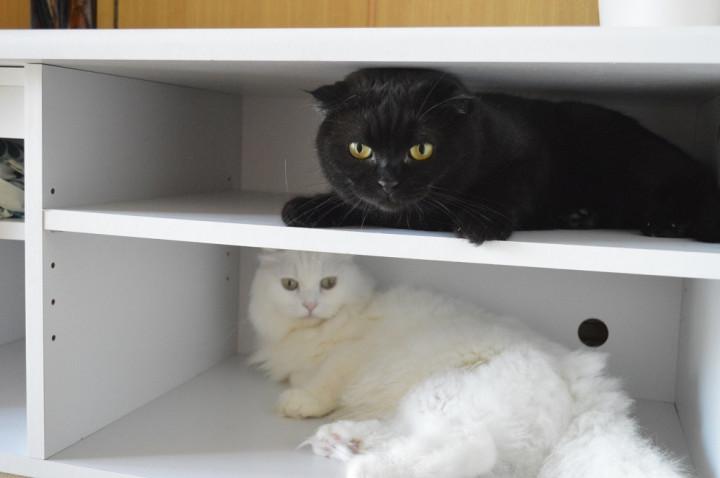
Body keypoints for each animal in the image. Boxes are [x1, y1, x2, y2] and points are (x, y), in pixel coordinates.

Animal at [248, 250, 687, 478]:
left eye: (328, 284)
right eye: (290, 285)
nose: (310, 305)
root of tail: (576, 377)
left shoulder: (349, 355)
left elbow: (324, 382)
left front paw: (298, 402)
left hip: (441, 395)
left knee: (468, 450)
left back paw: (361, 465)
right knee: (417, 442)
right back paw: (341, 443)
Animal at [281, 68, 720, 244]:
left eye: (421, 149)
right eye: (361, 149)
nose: (388, 179)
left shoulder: (528, 153)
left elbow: (507, 189)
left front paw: (480, 222)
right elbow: (358, 203)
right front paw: (310, 208)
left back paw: (668, 223)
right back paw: (578, 216)